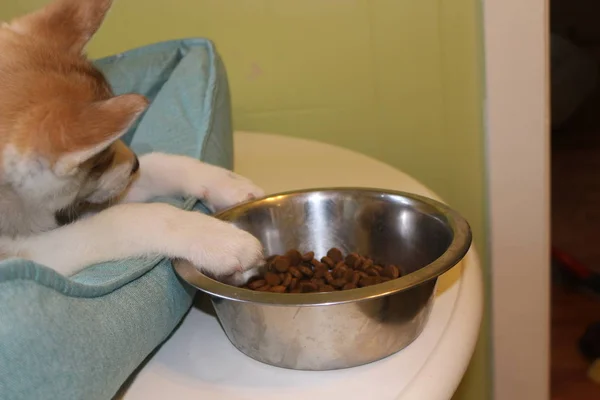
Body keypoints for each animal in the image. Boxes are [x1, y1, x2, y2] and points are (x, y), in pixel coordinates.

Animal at [0, 0, 264, 282]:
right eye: (98, 161)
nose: (135, 164)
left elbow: (159, 165)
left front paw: (225, 182)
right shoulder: (31, 252)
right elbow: (125, 218)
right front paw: (216, 238)